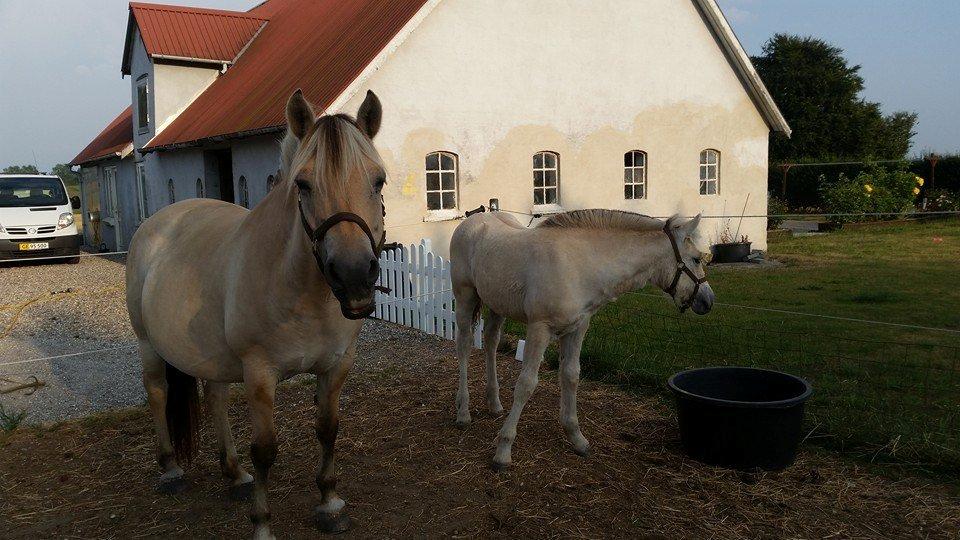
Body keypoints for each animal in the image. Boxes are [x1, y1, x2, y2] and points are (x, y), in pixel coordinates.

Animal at [126, 90, 386, 536]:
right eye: (303, 184)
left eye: (378, 180)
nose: (354, 276)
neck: (299, 287)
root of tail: (157, 221)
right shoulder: (260, 373)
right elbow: (265, 449)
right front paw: (262, 523)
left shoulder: (337, 365)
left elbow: (328, 430)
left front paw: (330, 504)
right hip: (148, 346)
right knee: (157, 393)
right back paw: (171, 470)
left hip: (210, 356)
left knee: (214, 399)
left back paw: (234, 474)